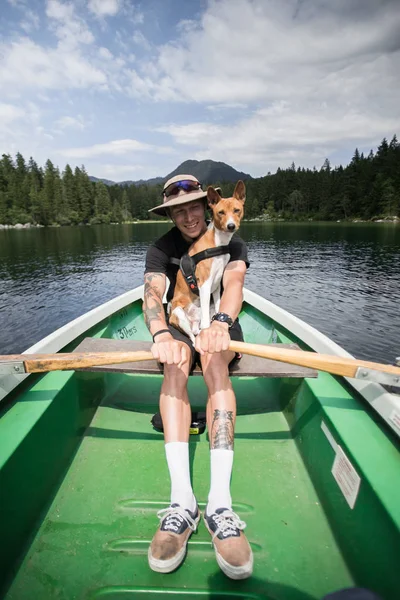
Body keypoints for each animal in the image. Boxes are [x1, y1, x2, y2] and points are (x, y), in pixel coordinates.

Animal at [168, 179, 245, 342]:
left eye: (237, 210)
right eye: (220, 212)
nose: (231, 226)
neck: (218, 243)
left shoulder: (216, 285)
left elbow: (218, 306)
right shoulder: (204, 284)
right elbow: (206, 325)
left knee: (197, 329)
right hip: (179, 314)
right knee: (193, 336)